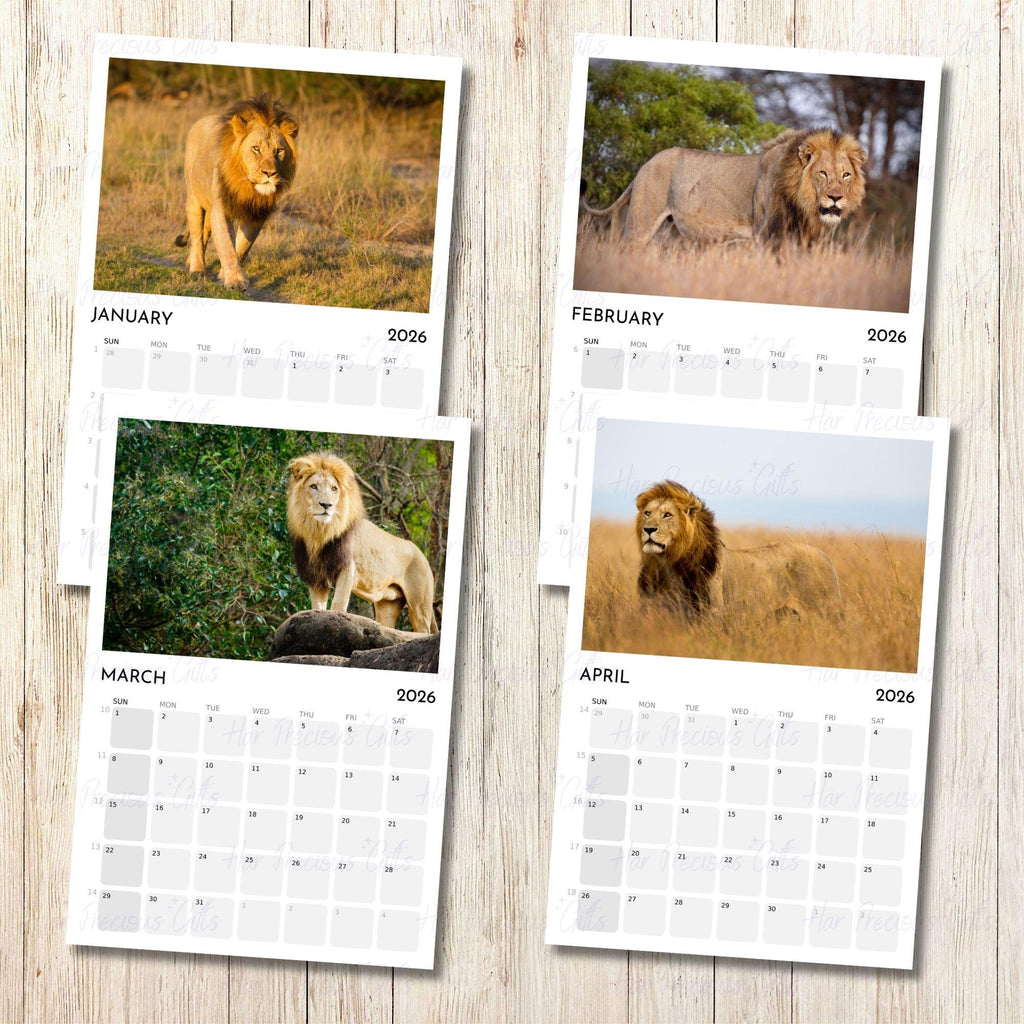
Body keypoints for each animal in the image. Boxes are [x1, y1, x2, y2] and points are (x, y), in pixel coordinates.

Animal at [174, 94, 298, 290]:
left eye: (279, 151)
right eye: (256, 148)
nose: (269, 173)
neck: (248, 186)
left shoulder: (256, 215)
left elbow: (241, 247)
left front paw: (225, 274)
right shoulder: (222, 210)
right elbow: (226, 245)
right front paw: (235, 281)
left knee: (204, 234)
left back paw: (190, 263)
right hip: (194, 199)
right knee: (196, 236)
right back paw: (197, 268)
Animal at [286, 453, 438, 634]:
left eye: (334, 489)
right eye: (314, 486)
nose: (326, 505)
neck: (319, 532)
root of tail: (421, 553)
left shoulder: (347, 568)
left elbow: (338, 603)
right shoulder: (316, 575)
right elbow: (317, 607)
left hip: (420, 607)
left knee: (422, 631)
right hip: (388, 605)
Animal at [581, 127, 867, 248]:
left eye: (845, 175)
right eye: (822, 173)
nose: (835, 198)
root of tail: (646, 163)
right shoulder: (765, 234)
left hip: (671, 230)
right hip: (640, 223)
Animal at [635, 481, 841, 620]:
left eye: (667, 514)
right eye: (647, 513)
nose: (648, 529)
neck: (671, 562)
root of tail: (825, 555)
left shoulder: (714, 612)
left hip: (823, 613)